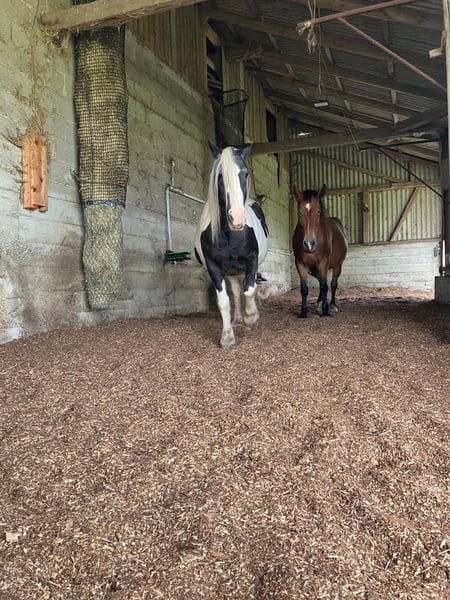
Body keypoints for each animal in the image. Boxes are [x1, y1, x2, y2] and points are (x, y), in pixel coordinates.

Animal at [194, 141, 269, 348]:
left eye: (245, 174)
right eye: (220, 176)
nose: (237, 218)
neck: (230, 235)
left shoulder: (252, 260)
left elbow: (250, 290)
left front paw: (252, 318)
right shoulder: (214, 267)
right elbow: (224, 301)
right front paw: (227, 336)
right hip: (232, 271)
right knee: (235, 292)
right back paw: (236, 320)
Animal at [292, 184, 348, 318]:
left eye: (318, 212)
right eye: (299, 212)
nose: (309, 244)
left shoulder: (323, 262)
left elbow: (324, 286)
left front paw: (325, 311)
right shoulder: (300, 264)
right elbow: (304, 289)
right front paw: (303, 312)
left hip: (337, 265)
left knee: (332, 284)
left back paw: (332, 305)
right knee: (322, 281)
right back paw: (320, 302)